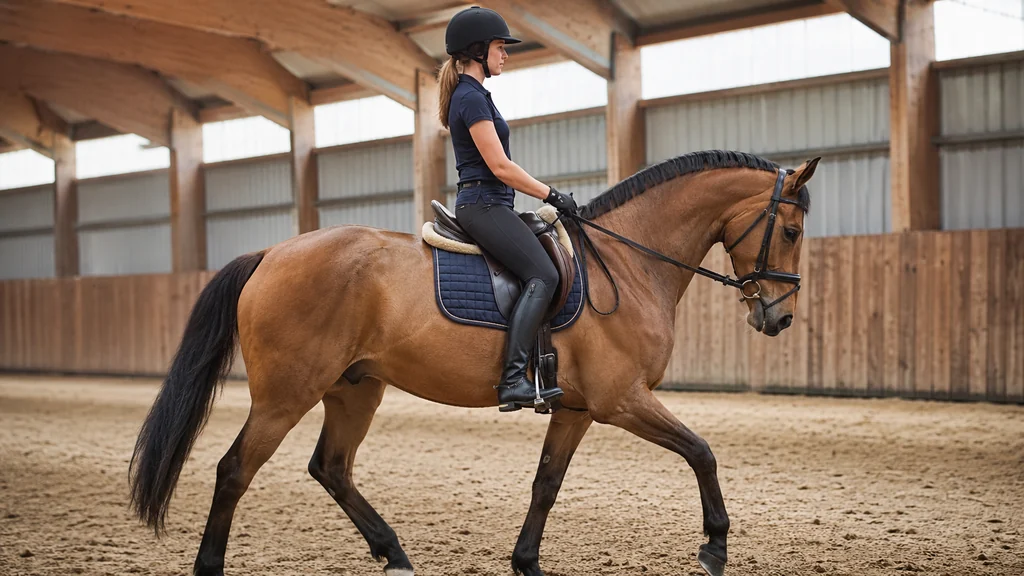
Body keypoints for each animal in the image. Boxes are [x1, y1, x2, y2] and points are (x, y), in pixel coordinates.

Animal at [128, 150, 819, 576]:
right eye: (789, 230)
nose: (779, 317)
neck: (627, 264)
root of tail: (271, 253)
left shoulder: (576, 408)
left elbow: (546, 483)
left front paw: (527, 562)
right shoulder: (622, 400)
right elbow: (701, 450)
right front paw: (715, 545)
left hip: (355, 388)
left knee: (330, 467)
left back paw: (395, 553)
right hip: (286, 395)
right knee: (235, 470)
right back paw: (214, 564)